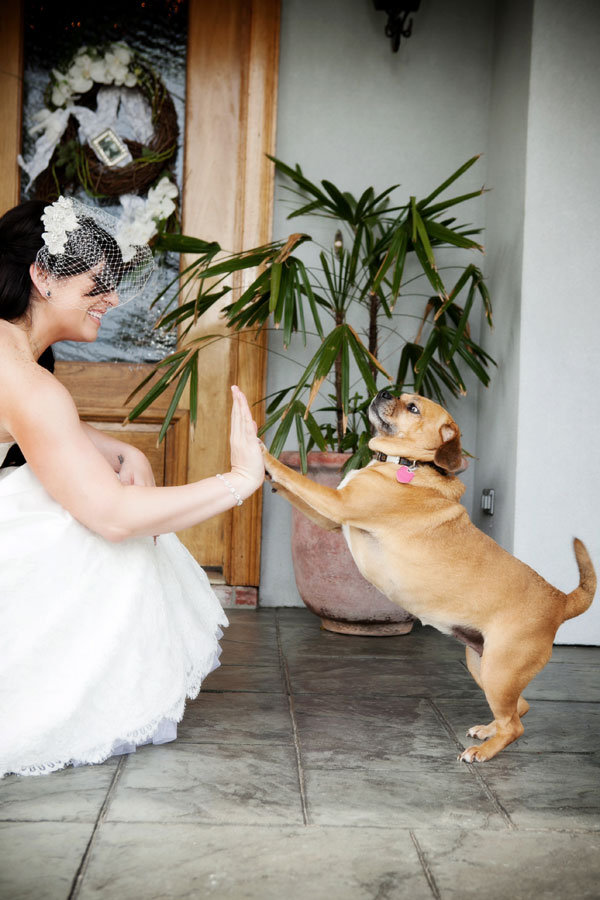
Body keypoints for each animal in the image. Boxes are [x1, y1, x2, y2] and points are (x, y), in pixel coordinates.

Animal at [262, 390, 596, 764]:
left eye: (413, 408)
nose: (384, 391)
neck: (406, 463)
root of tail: (560, 601)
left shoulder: (335, 503)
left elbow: (292, 475)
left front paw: (260, 451)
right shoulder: (330, 518)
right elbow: (291, 488)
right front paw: (263, 475)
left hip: (499, 672)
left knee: (515, 725)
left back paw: (483, 752)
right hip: (482, 665)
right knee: (518, 709)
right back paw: (487, 730)